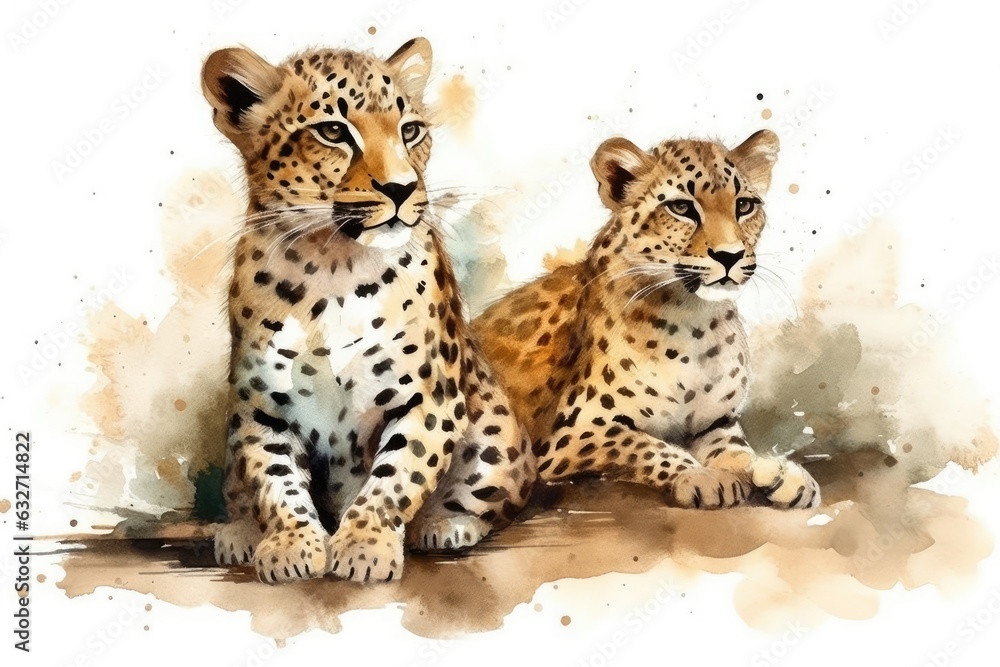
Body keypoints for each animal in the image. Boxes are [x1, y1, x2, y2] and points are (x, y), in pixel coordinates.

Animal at [202, 38, 535, 584]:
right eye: (333, 131)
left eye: (410, 131)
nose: (401, 188)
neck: (332, 266)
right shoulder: (263, 408)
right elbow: (276, 481)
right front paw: (292, 545)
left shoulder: (429, 400)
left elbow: (395, 478)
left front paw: (364, 545)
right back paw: (240, 534)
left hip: (494, 428)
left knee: (495, 496)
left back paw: (445, 526)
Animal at [474, 130, 820, 510]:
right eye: (681, 208)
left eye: (744, 206)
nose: (730, 256)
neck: (694, 319)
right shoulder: (574, 435)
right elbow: (647, 446)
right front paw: (703, 477)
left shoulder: (714, 422)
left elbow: (738, 451)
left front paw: (781, 474)